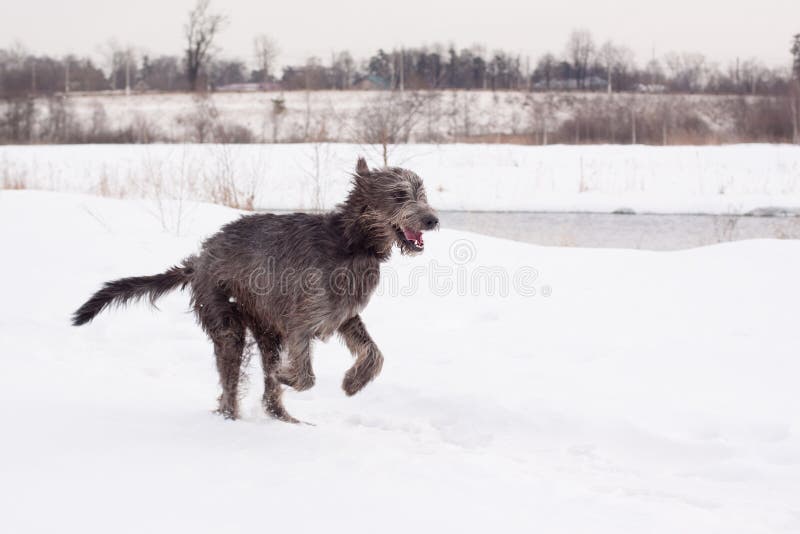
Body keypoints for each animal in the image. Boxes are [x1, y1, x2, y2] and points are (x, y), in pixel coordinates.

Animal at [71, 157, 438, 426]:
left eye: (422, 192)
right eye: (399, 195)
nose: (433, 220)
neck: (350, 243)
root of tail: (200, 259)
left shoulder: (343, 315)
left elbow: (374, 354)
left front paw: (353, 382)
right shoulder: (300, 320)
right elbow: (305, 376)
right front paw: (290, 376)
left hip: (265, 328)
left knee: (266, 393)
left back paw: (287, 419)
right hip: (226, 320)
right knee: (230, 385)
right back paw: (232, 421)